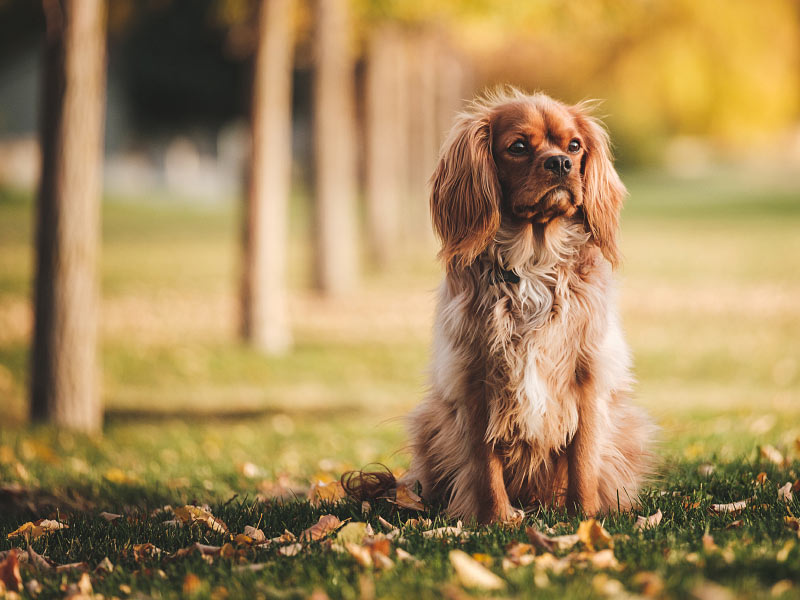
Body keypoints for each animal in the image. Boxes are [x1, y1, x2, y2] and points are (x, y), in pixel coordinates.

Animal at [342, 86, 648, 524]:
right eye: (518, 147)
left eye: (574, 145)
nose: (561, 162)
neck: (533, 262)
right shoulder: (475, 379)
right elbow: (484, 463)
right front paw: (496, 520)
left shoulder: (587, 375)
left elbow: (583, 456)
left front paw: (585, 518)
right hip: (428, 420)